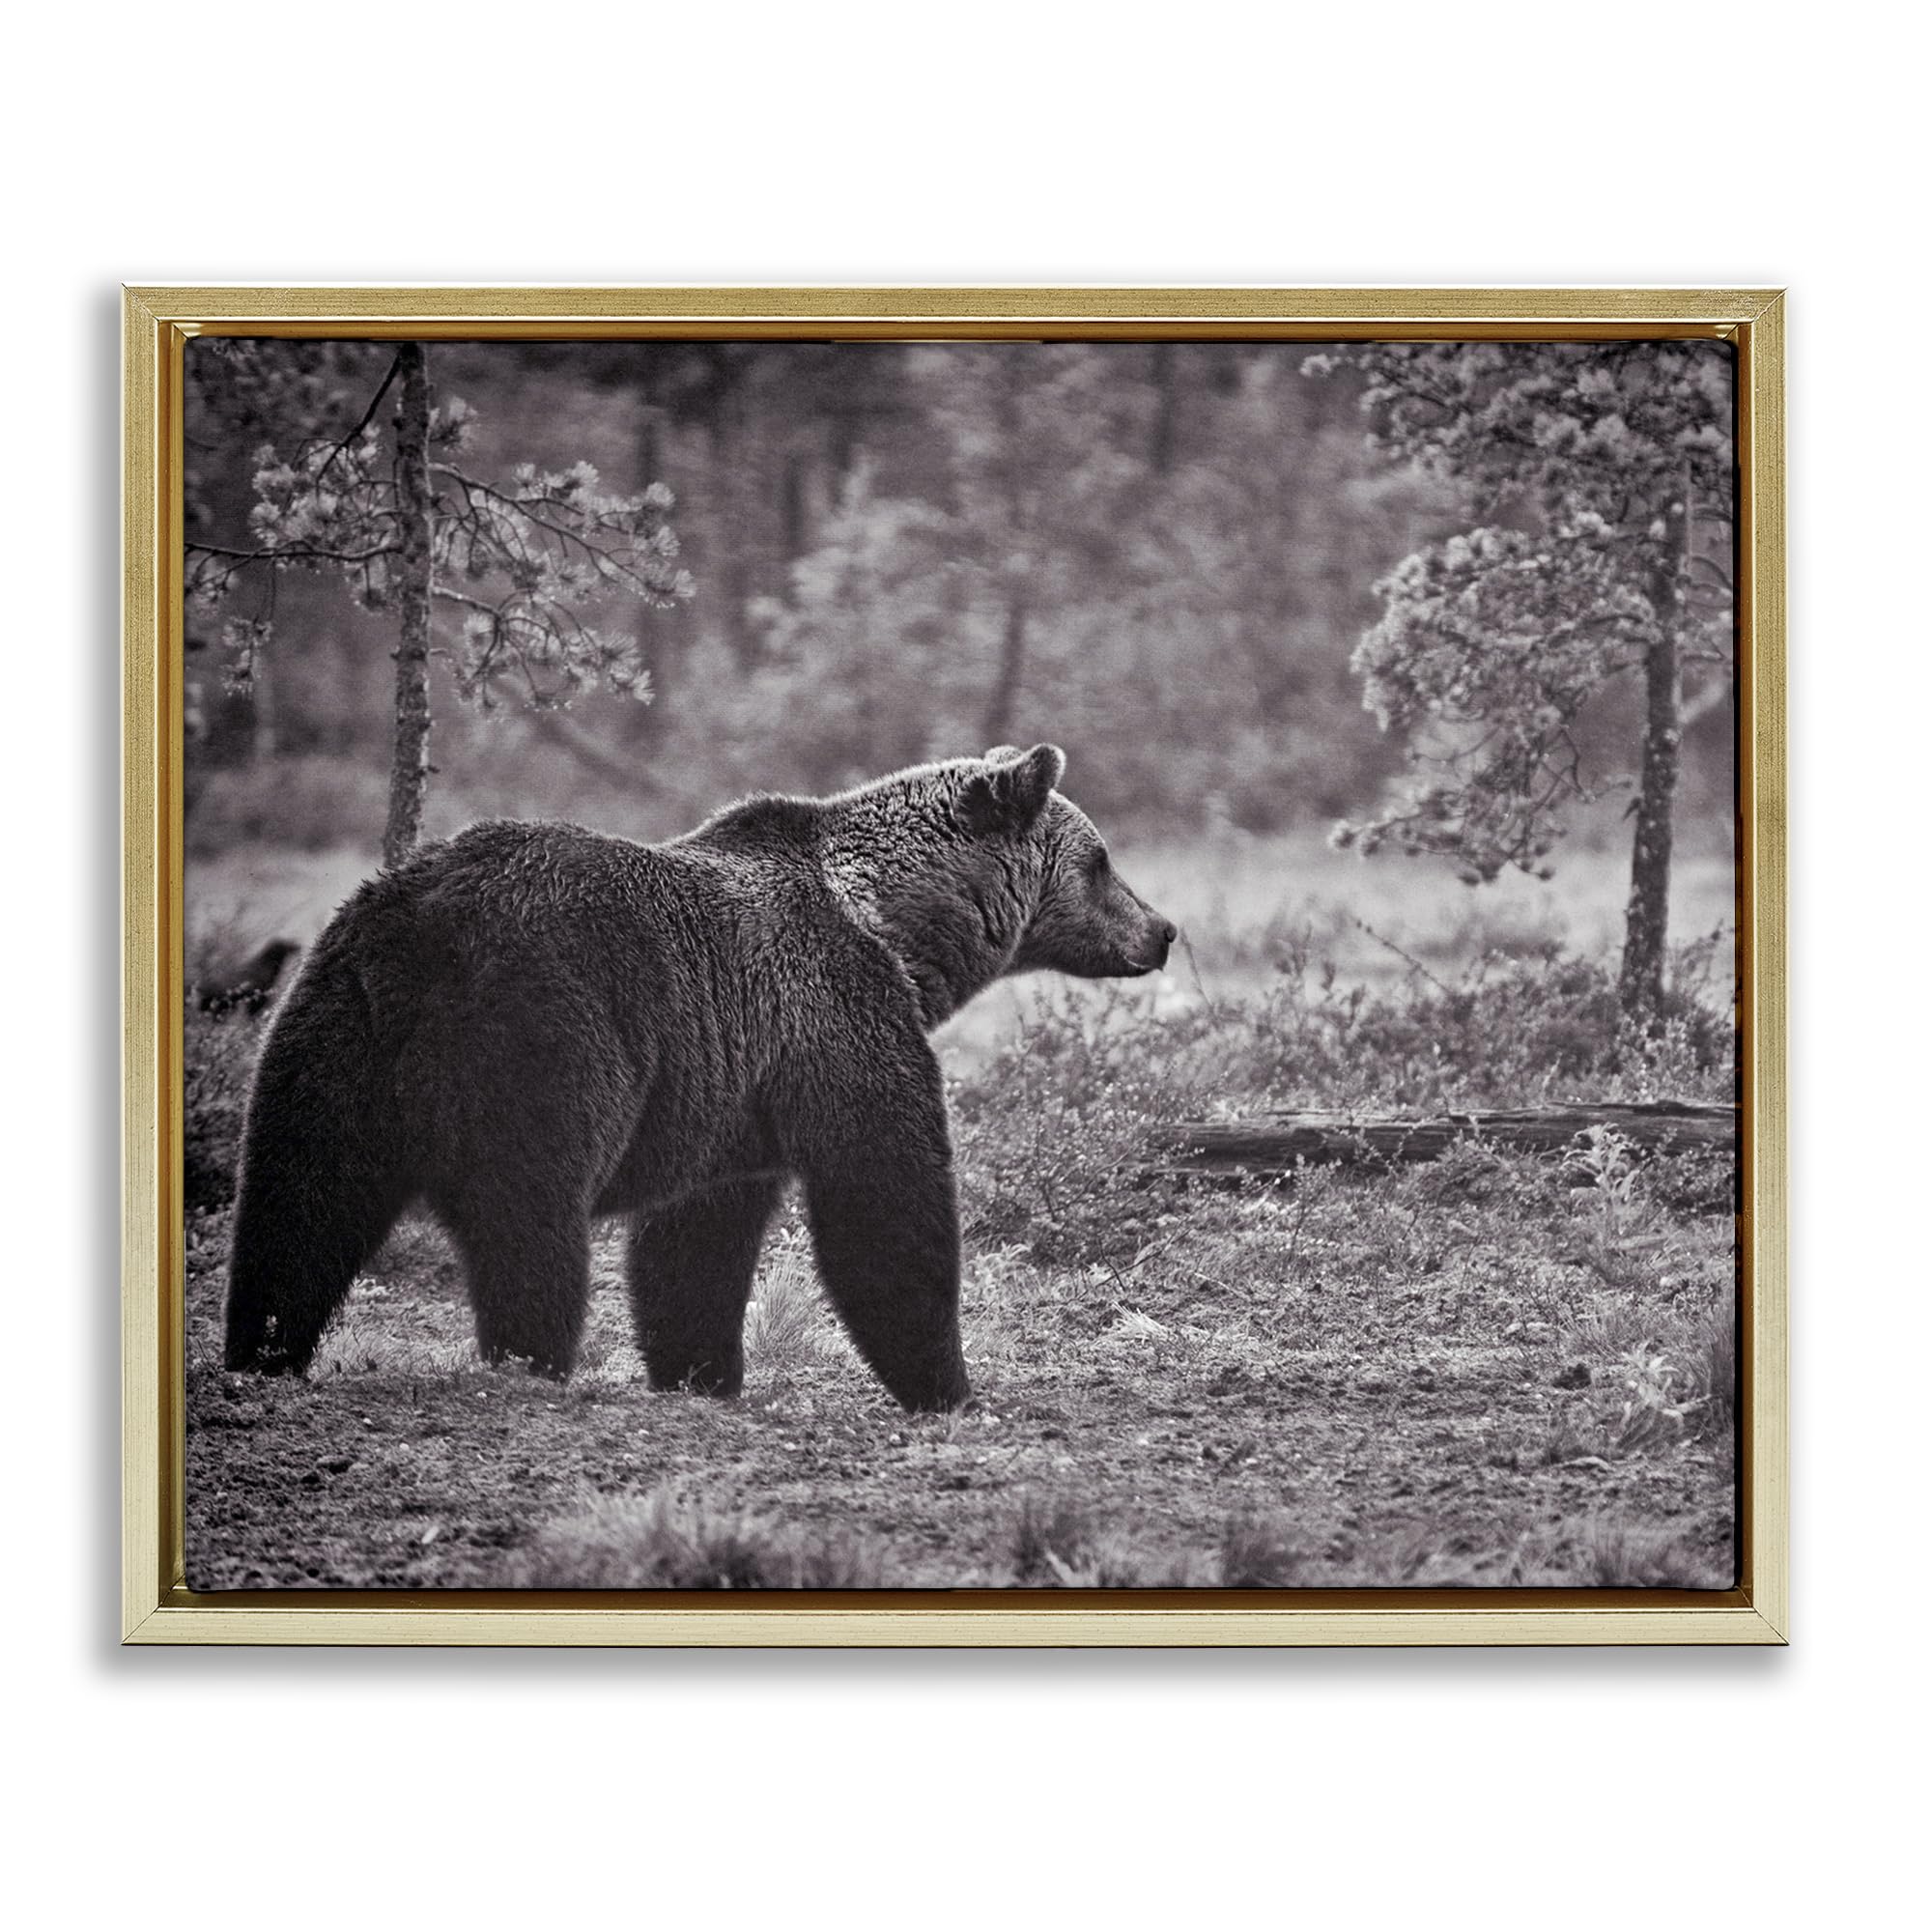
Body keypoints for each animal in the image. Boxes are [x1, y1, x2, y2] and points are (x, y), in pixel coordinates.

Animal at [223, 743, 1176, 1412]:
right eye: (1101, 860)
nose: (1162, 929)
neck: (896, 929)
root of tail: (418, 928)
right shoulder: (835, 1017)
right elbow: (884, 1195)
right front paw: (945, 1383)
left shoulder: (731, 1088)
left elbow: (696, 1240)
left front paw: (700, 1370)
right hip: (542, 1032)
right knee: (529, 1216)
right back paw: (530, 1359)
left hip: (331, 1031)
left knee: (298, 1203)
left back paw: (263, 1350)